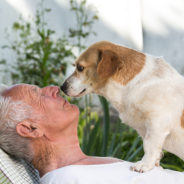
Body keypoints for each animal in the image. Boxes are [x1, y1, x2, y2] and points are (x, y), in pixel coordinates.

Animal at [61, 40, 184, 172]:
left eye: (80, 68)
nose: (62, 87)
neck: (137, 83)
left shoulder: (156, 124)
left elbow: (150, 146)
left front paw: (144, 164)